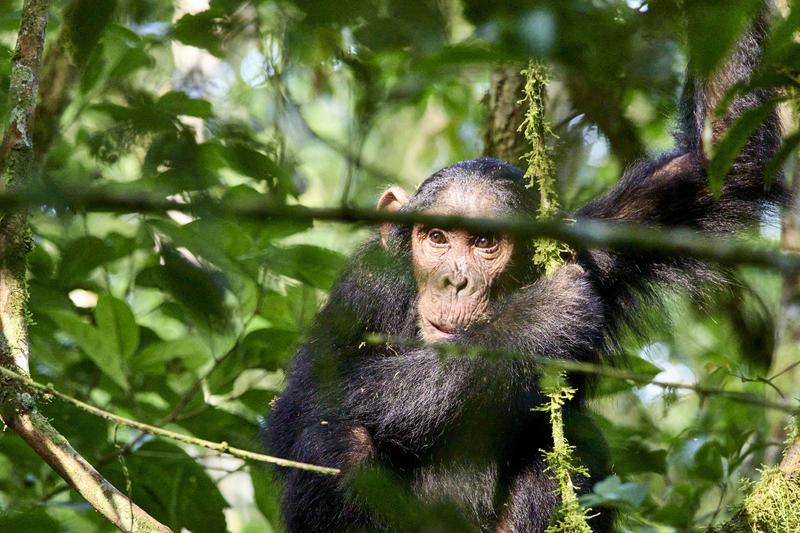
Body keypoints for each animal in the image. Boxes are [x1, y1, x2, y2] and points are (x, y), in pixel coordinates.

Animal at [262, 9, 780, 532]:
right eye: (437, 237)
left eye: (485, 242)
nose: (454, 280)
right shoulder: (366, 284)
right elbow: (311, 397)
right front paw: (541, 316)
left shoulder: (605, 245)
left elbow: (722, 159)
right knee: (335, 439)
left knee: (574, 437)